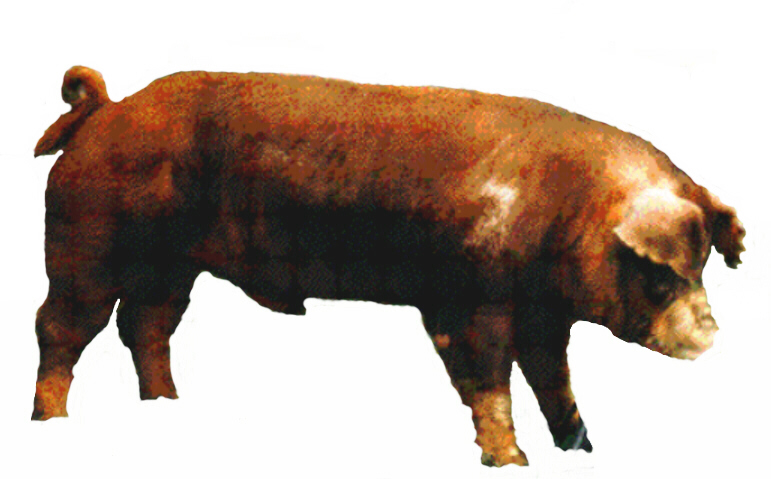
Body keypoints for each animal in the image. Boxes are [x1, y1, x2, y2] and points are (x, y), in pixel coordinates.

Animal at [31, 66, 745, 467]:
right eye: (660, 270)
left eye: (705, 262)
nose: (712, 334)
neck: (566, 209)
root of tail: (103, 110)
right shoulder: (466, 302)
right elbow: (490, 381)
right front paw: (511, 462)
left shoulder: (545, 315)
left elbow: (555, 380)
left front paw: (584, 451)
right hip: (84, 247)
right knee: (60, 328)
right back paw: (52, 426)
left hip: (169, 268)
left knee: (145, 327)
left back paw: (169, 408)